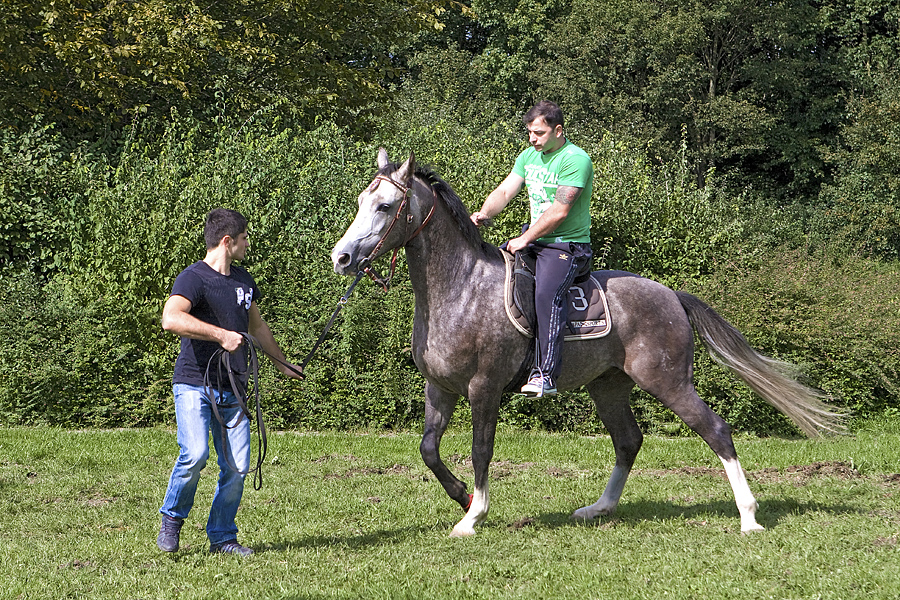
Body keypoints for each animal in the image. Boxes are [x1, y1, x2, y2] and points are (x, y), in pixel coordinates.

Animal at [330, 148, 844, 536]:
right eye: (360, 201)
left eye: (384, 207)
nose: (342, 258)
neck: (459, 287)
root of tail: (672, 296)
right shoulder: (439, 388)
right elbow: (429, 449)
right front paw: (461, 497)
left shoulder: (484, 389)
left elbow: (480, 450)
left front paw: (472, 516)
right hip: (609, 386)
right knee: (628, 440)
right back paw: (599, 509)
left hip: (668, 382)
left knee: (715, 430)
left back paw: (749, 518)